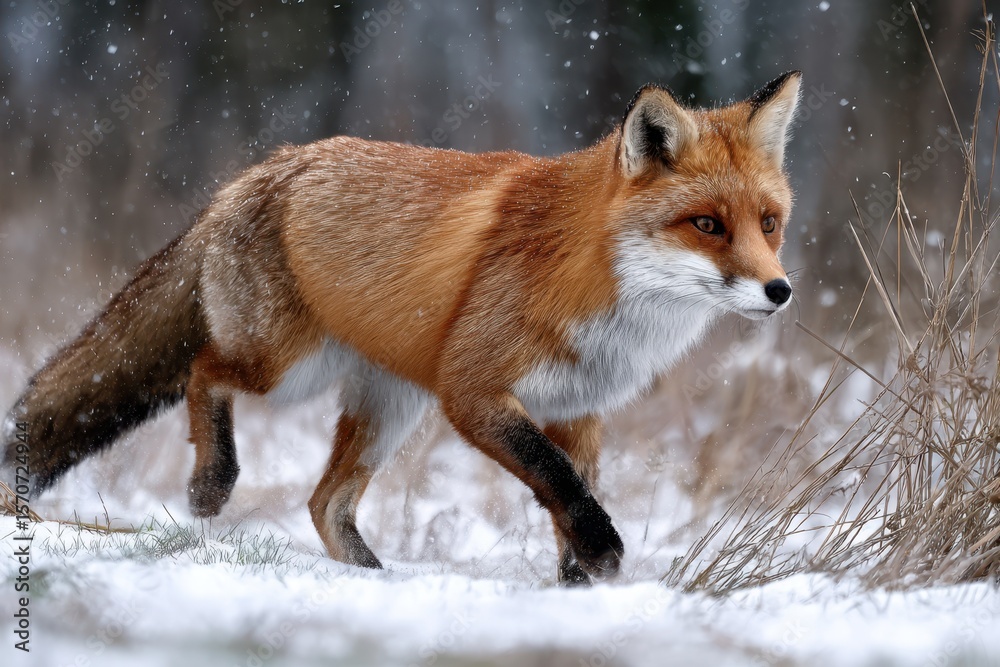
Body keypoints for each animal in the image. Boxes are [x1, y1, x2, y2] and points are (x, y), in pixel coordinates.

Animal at [3, 71, 801, 584]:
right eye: (706, 225)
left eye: (767, 223)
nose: (780, 289)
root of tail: (261, 169)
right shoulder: (471, 392)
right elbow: (558, 482)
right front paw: (605, 555)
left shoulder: (578, 410)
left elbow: (568, 500)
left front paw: (581, 585)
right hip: (289, 371)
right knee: (205, 371)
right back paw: (210, 483)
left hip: (388, 406)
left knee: (324, 504)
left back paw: (371, 576)